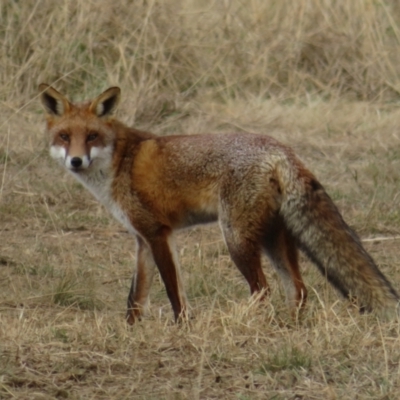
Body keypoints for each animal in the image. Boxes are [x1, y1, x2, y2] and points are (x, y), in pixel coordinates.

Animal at [39, 83, 398, 322]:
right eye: (64, 137)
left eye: (92, 137)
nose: (76, 161)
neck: (120, 161)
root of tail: (280, 149)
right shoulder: (142, 239)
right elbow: (135, 298)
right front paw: (131, 333)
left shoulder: (158, 233)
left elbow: (174, 293)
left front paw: (182, 329)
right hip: (273, 238)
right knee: (298, 290)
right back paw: (288, 326)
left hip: (236, 238)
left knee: (263, 290)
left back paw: (243, 319)